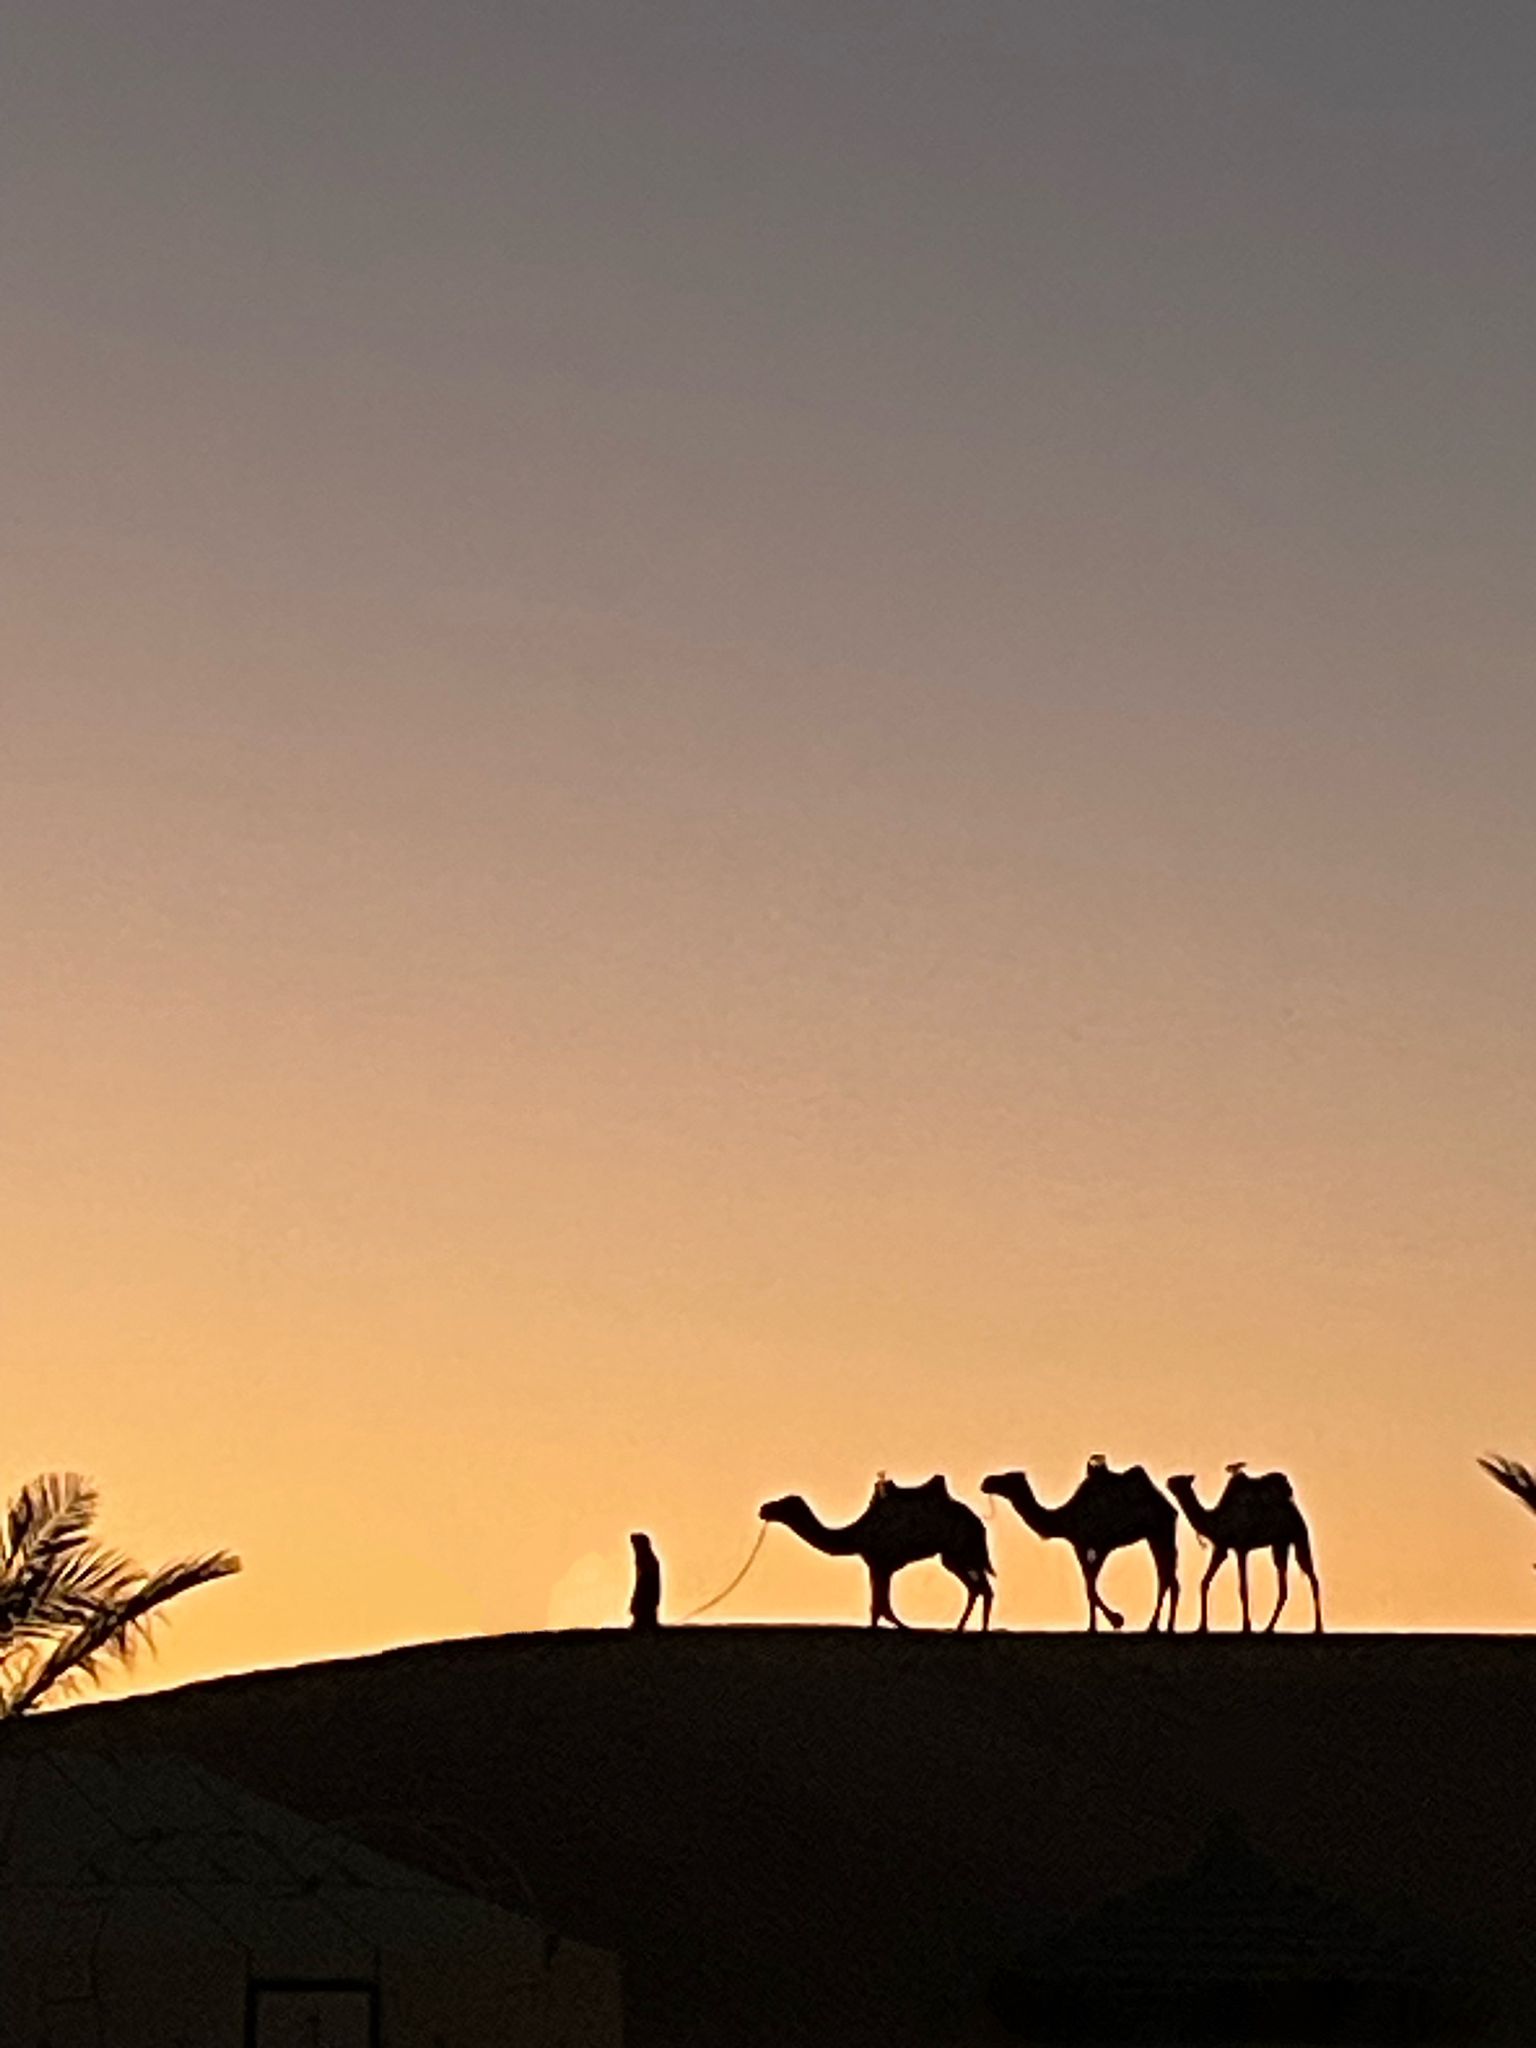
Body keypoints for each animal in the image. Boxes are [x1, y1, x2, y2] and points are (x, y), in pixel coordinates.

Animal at [759, 1474, 994, 1630]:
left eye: (784, 1503)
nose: (764, 1509)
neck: (854, 1535)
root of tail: (979, 1525)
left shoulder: (880, 1562)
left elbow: (881, 1606)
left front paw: (902, 1627)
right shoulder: (879, 1565)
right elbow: (880, 1606)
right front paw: (897, 1626)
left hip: (963, 1550)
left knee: (981, 1587)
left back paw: (968, 1630)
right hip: (953, 1556)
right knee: (979, 1588)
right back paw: (964, 1629)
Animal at [981, 1458, 1180, 1632]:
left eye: (1007, 1477)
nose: (986, 1481)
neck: (1064, 1519)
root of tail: (1168, 1506)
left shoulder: (1099, 1544)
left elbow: (1091, 1586)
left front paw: (1116, 1620)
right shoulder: (1079, 1545)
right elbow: (1088, 1586)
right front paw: (1093, 1627)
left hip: (1160, 1530)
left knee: (1165, 1577)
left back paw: (1153, 1627)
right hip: (1155, 1535)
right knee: (1170, 1578)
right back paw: (1167, 1627)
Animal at [1166, 1465, 1322, 1633]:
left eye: (1179, 1479)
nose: (1168, 1481)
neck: (1215, 1522)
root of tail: (1294, 1509)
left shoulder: (1241, 1548)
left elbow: (1243, 1588)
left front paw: (1246, 1626)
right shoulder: (1221, 1547)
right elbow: (1204, 1582)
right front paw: (1201, 1627)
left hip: (1300, 1536)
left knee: (1312, 1577)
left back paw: (1318, 1627)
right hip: (1280, 1543)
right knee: (1284, 1585)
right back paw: (1268, 1628)